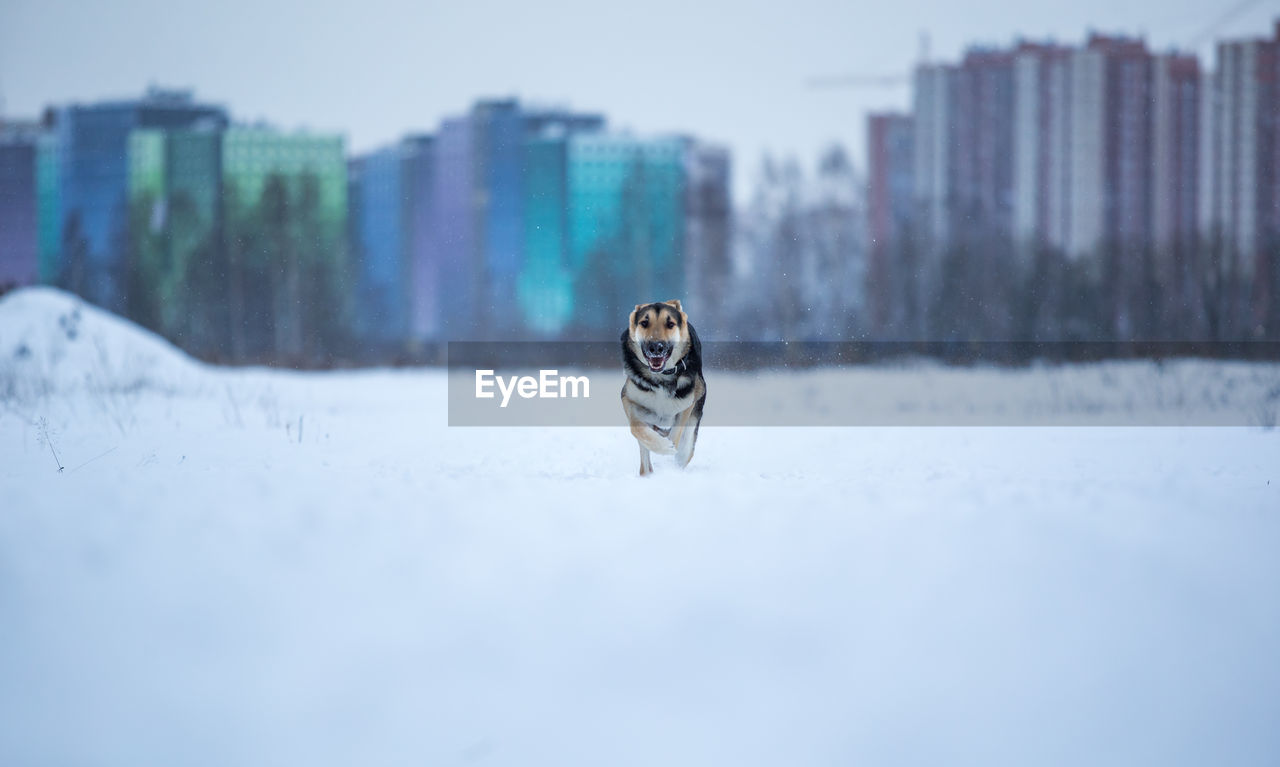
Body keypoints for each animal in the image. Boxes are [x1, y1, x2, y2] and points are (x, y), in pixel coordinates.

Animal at [616, 298, 706, 473]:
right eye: (644, 323)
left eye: (670, 324)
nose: (656, 347)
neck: (661, 378)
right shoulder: (629, 399)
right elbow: (635, 427)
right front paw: (663, 446)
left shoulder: (687, 404)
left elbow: (677, 433)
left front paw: (669, 448)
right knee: (645, 464)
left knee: (685, 448)